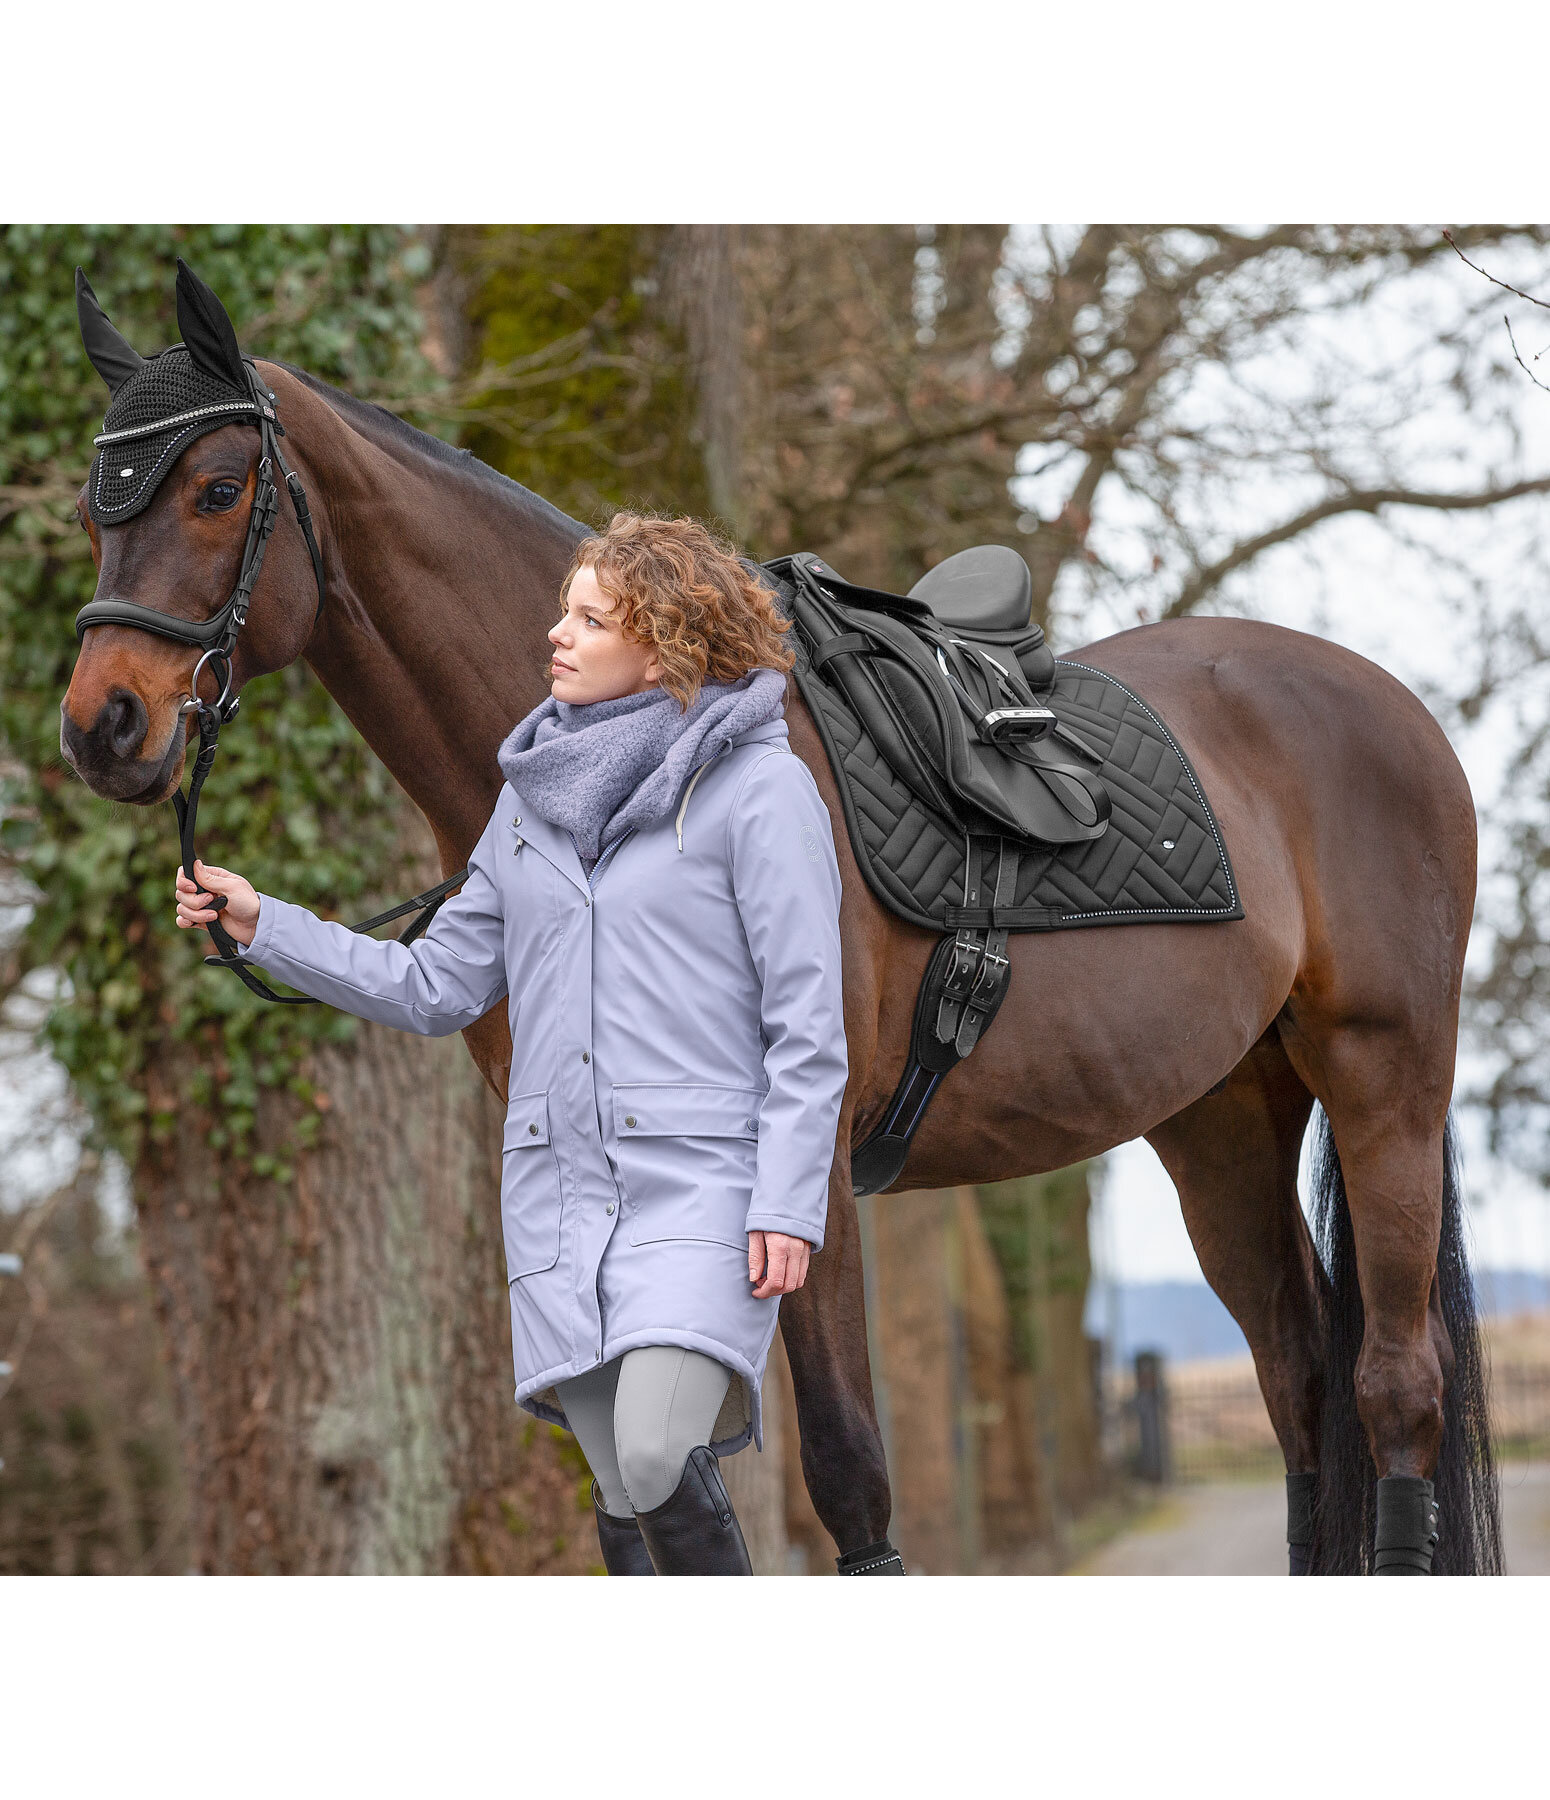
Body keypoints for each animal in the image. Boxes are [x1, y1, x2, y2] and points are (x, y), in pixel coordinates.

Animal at [63, 324, 1497, 1576]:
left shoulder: (803, 1187)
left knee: (1391, 1391)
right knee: (1300, 1385)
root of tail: (1389, 706)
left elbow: (850, 1477)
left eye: (215, 488)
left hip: (1382, 1084)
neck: (622, 783)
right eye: (95, 505)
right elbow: (637, 1503)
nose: (101, 726)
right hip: (1220, 1119)